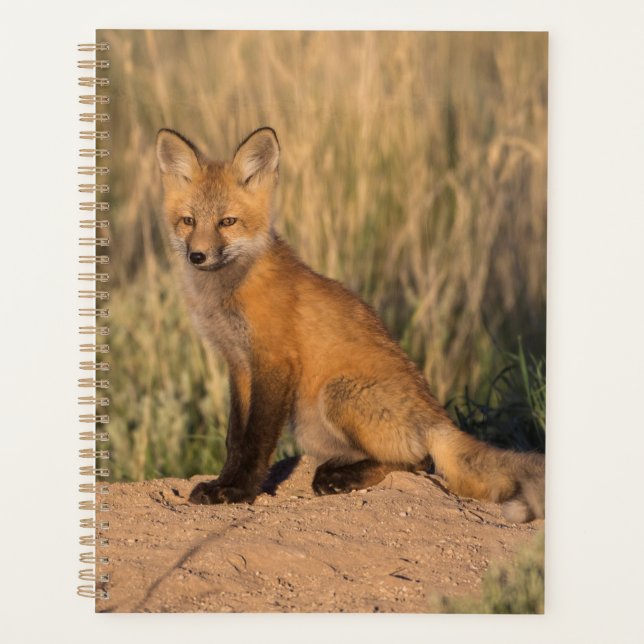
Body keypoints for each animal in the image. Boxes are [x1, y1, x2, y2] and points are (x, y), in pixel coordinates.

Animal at [155, 126, 545, 523]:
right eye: (188, 221)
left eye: (227, 222)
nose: (197, 255)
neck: (228, 293)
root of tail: (438, 418)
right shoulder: (239, 365)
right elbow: (235, 438)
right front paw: (223, 482)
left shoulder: (274, 361)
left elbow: (256, 440)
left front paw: (238, 492)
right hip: (309, 422)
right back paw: (336, 469)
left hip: (337, 393)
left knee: (419, 461)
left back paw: (342, 478)